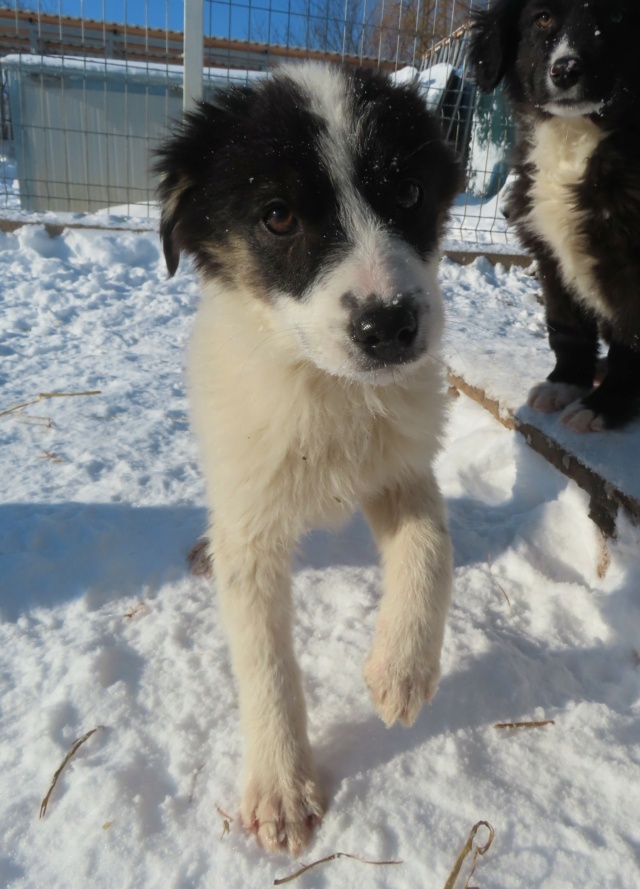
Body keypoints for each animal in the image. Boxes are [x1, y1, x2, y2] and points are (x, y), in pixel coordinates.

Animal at [155, 62, 460, 852]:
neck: (329, 391)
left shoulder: (401, 468)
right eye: (277, 216)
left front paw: (402, 670)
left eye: (408, 192)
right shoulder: (250, 522)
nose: (391, 326)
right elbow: (265, 661)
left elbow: (431, 548)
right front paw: (283, 790)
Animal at [470, 0, 640, 430]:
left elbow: (630, 341)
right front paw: (565, 383)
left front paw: (604, 407)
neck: (574, 133)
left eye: (618, 16)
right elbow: (566, 326)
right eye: (542, 18)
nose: (565, 70)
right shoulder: (550, 254)